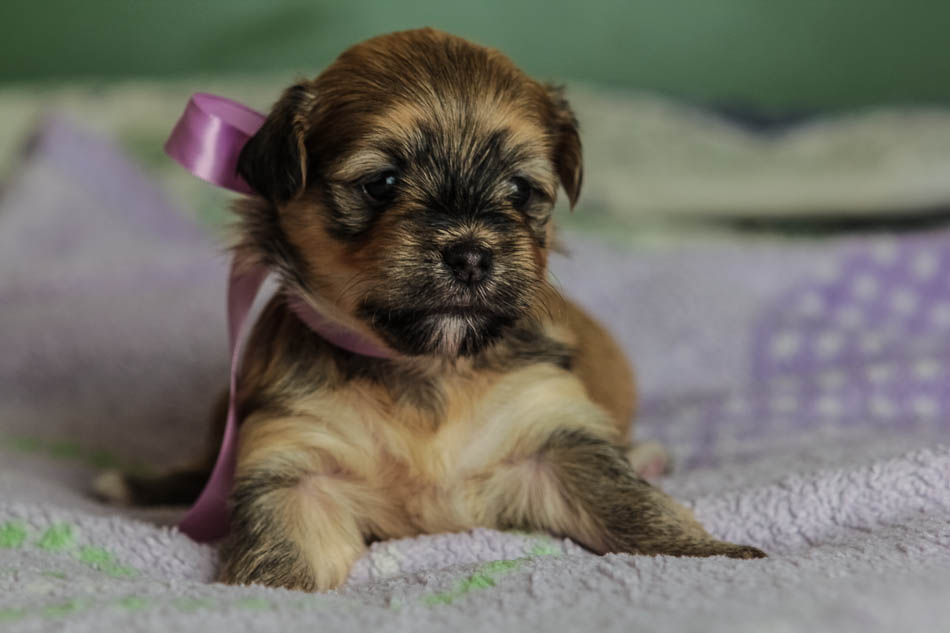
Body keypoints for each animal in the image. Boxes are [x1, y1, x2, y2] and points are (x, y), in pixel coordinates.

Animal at [98, 27, 768, 592]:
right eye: (383, 184)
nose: (470, 253)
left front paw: (718, 558)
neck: (430, 368)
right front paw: (265, 599)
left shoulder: (554, 435)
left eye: (520, 190)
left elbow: (638, 510)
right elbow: (279, 556)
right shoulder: (294, 468)